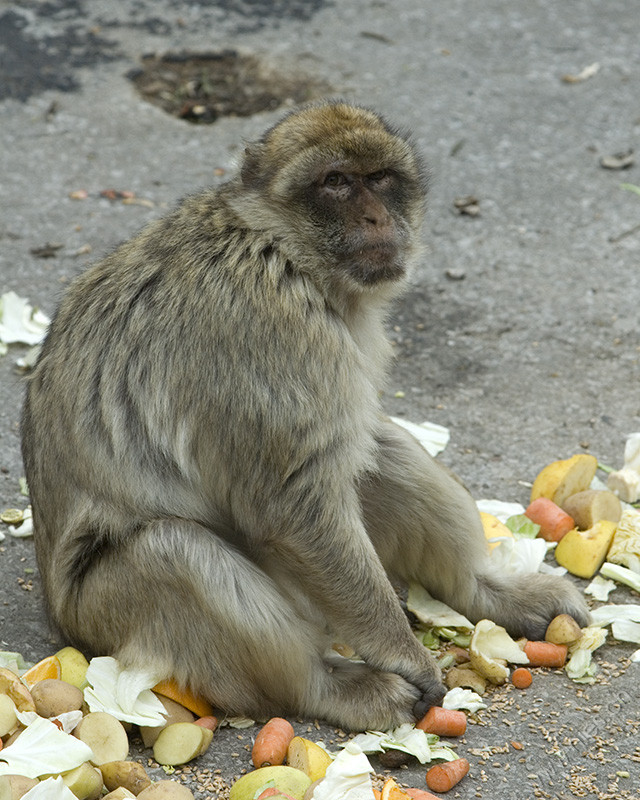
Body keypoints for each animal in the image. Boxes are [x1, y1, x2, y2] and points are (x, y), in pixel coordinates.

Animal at [21, 101, 592, 732]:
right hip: (105, 611)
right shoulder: (273, 331)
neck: (285, 249)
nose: (374, 217)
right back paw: (328, 686)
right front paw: (405, 656)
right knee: (174, 549)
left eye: (380, 179)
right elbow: (291, 505)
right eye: (336, 182)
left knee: (377, 450)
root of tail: (60, 616)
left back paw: (484, 594)